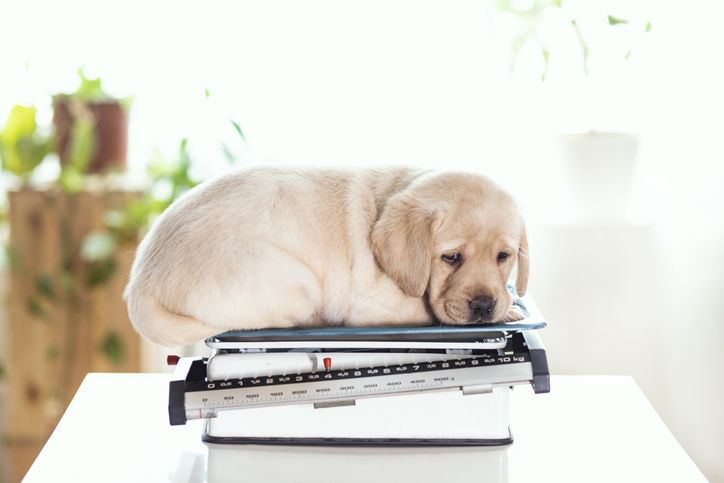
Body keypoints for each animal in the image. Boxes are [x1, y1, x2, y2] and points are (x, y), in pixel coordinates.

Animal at [126, 168, 528, 346]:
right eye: (452, 257)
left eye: (504, 256)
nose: (484, 306)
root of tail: (140, 283)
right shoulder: (368, 305)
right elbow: (427, 312)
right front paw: (509, 311)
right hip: (295, 283)